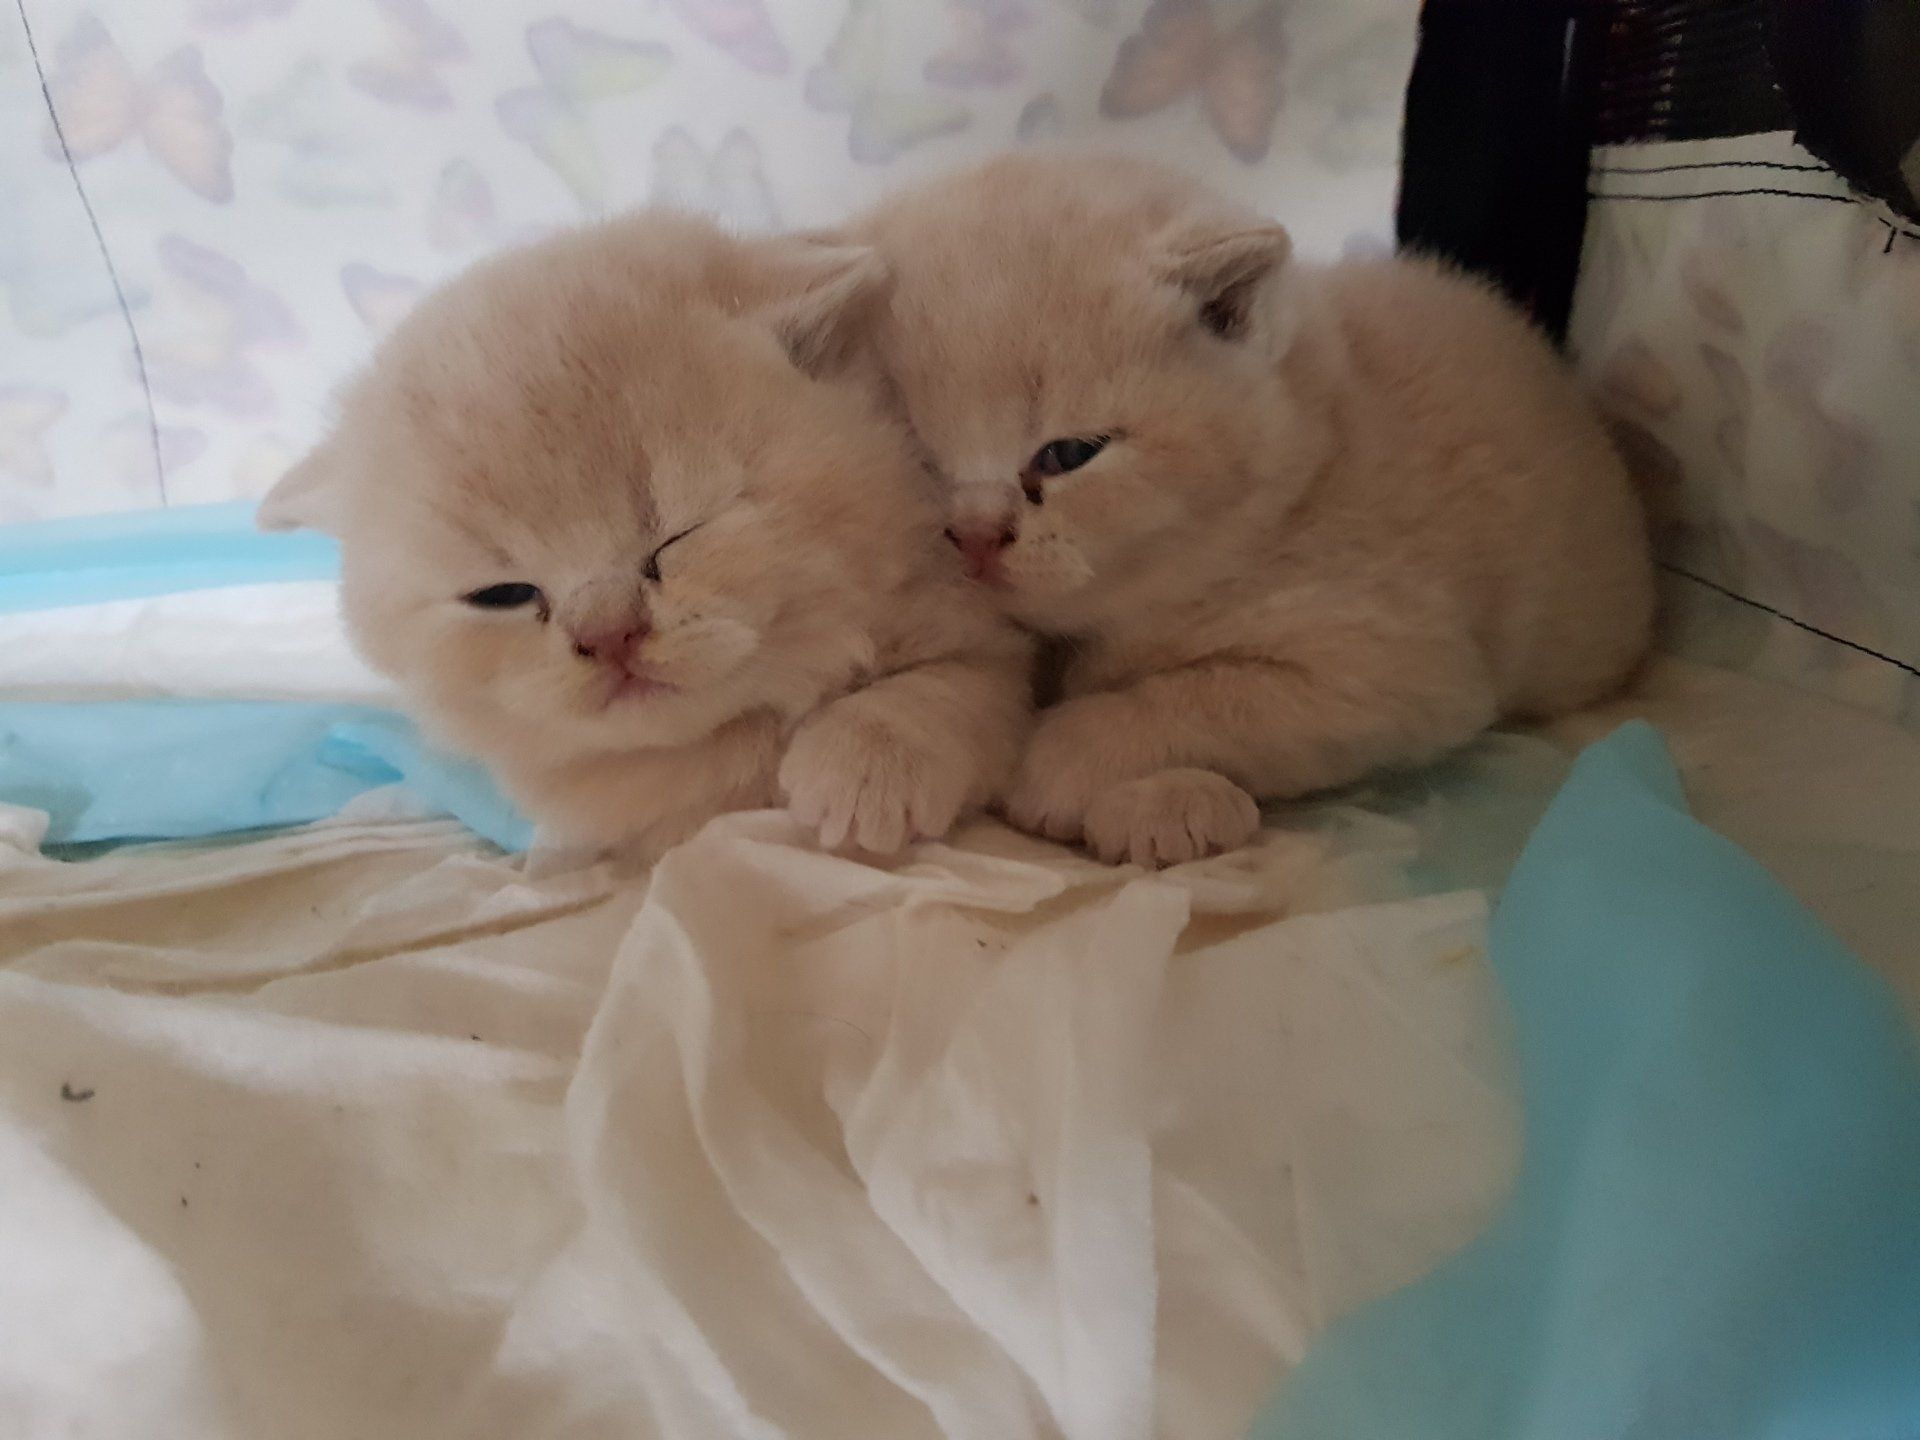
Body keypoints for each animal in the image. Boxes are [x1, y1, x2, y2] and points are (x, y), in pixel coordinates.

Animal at [260, 211, 1032, 861]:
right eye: (503, 593)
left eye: (679, 533)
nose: (608, 634)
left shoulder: (992, 627)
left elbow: (949, 684)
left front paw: (864, 770)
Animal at [848, 152, 1655, 867]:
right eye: (917, 452)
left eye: (1068, 454)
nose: (976, 536)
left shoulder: (1400, 669)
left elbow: (1204, 695)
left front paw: (1058, 761)